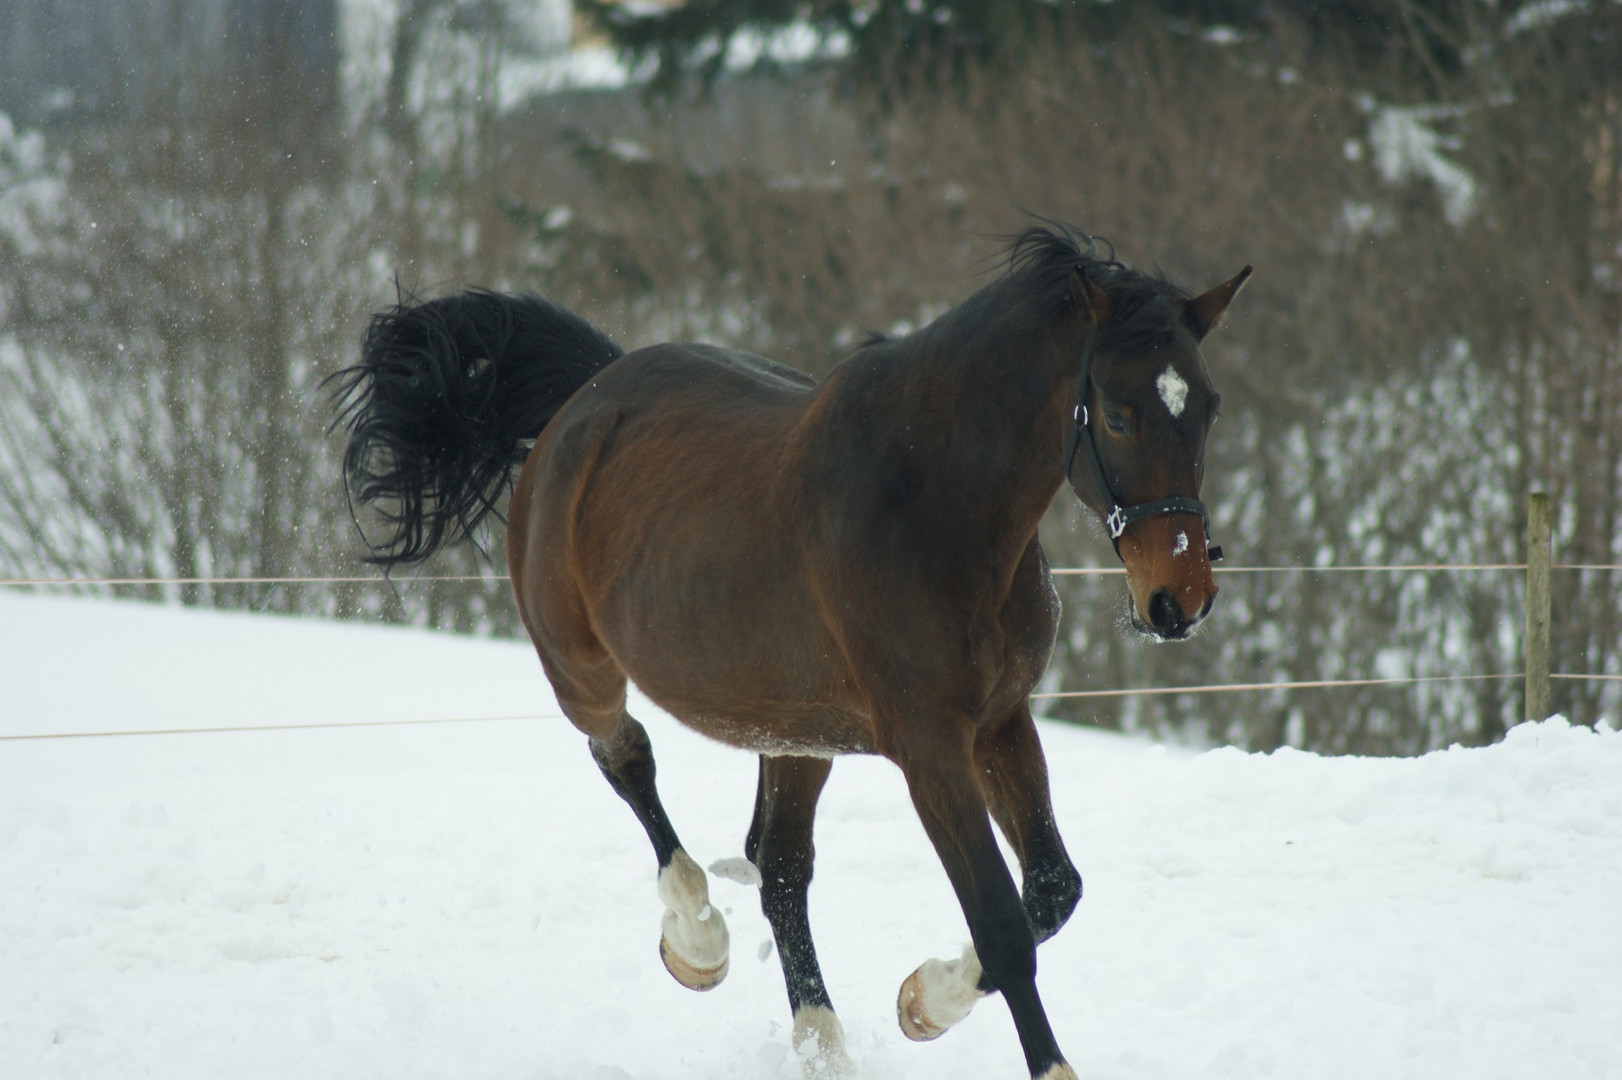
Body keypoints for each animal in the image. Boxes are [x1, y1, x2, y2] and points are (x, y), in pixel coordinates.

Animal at [326, 225, 1239, 1076]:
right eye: (1116, 413)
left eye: (1207, 406)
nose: (1179, 600)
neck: (932, 500)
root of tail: (587, 397)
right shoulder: (929, 744)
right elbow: (1003, 925)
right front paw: (999, 1040)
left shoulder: (1000, 722)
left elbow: (1050, 891)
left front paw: (919, 1002)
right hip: (580, 666)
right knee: (628, 760)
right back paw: (696, 939)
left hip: (796, 734)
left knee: (781, 869)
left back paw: (821, 1044)